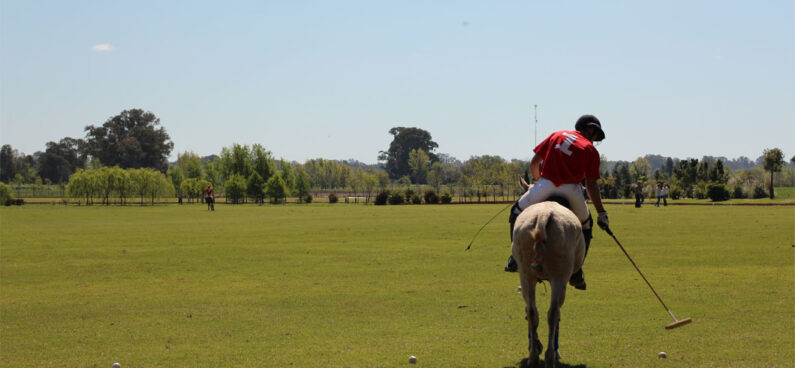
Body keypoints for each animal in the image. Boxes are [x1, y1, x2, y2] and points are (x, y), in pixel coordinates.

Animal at [512, 201, 588, 368]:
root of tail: (543, 215)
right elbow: (557, 313)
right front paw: (555, 351)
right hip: (560, 274)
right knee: (554, 313)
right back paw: (550, 357)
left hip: (525, 273)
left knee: (532, 311)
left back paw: (533, 357)